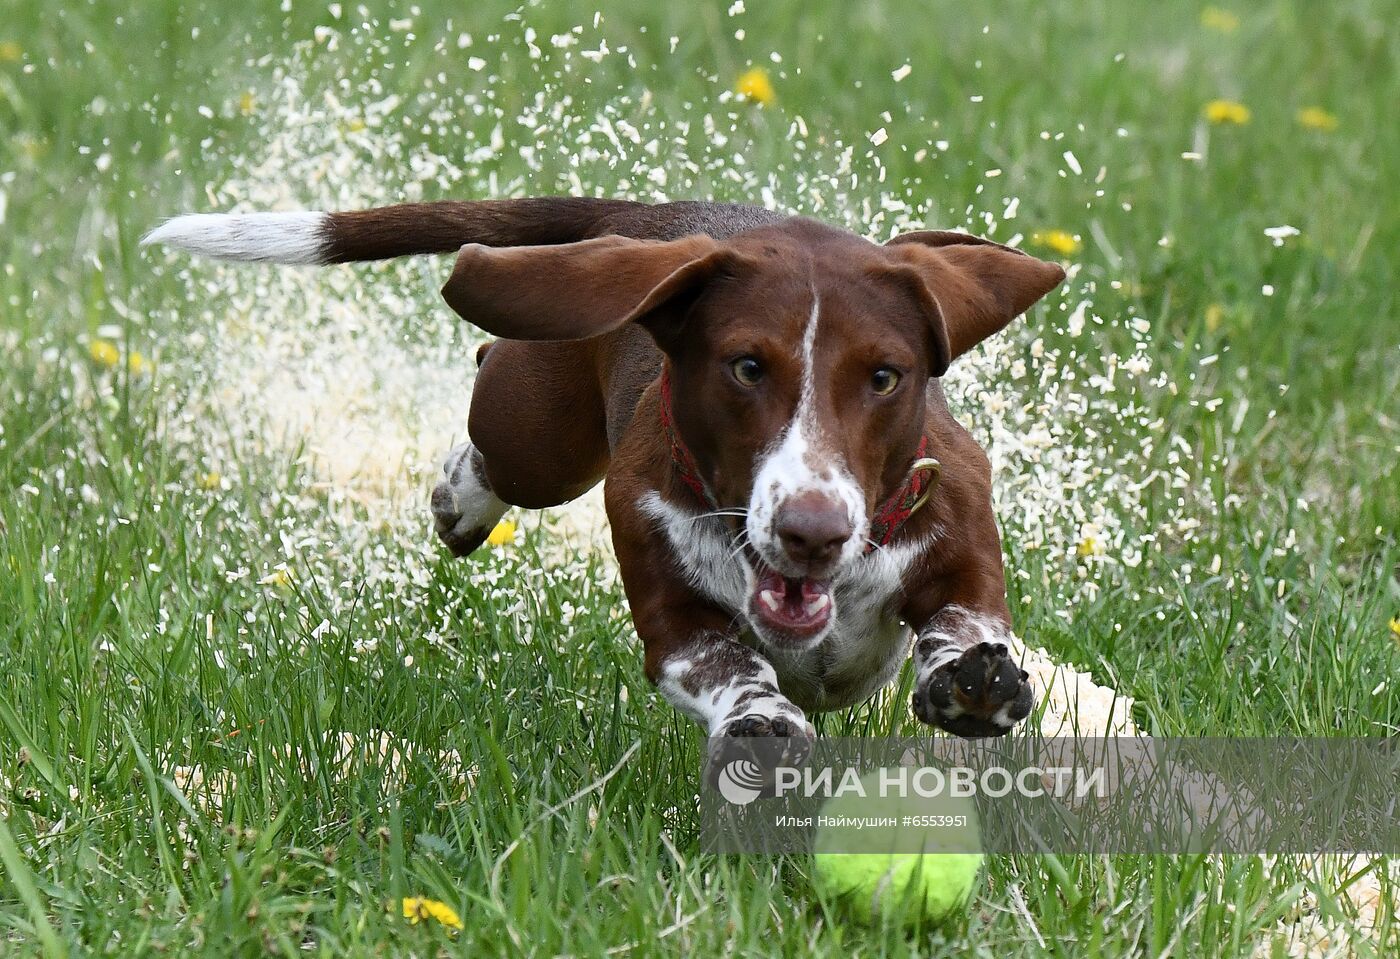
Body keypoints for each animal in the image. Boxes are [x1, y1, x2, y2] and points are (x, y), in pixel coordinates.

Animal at [144, 200, 1058, 761]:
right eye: (746, 366)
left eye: (884, 377)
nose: (812, 529)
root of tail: (647, 224)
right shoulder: (673, 618)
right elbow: (728, 664)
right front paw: (761, 715)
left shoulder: (959, 537)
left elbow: (965, 617)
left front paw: (972, 677)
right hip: (537, 427)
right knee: (495, 406)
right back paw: (462, 497)